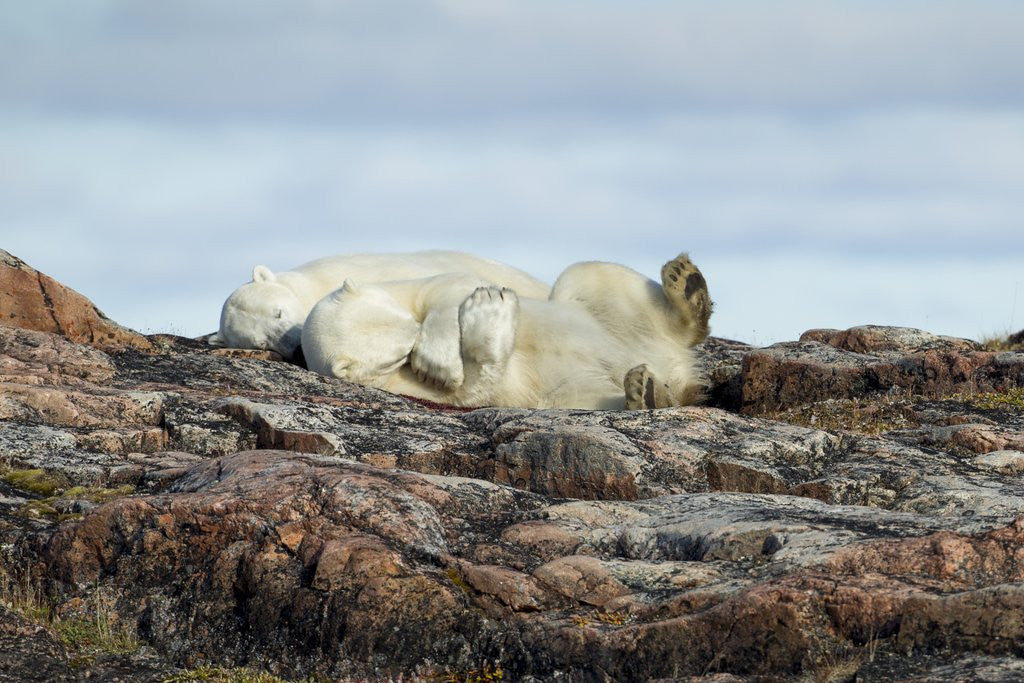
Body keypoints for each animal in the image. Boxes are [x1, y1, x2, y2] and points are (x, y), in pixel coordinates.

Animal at [301, 253, 712, 410]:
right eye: (400, 354)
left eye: (410, 322)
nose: (418, 349)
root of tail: (675, 365)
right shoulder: (400, 387)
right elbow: (474, 389)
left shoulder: (405, 286)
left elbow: (451, 285)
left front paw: (484, 303)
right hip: (573, 392)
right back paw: (648, 391)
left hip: (601, 315)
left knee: (588, 276)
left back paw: (686, 287)